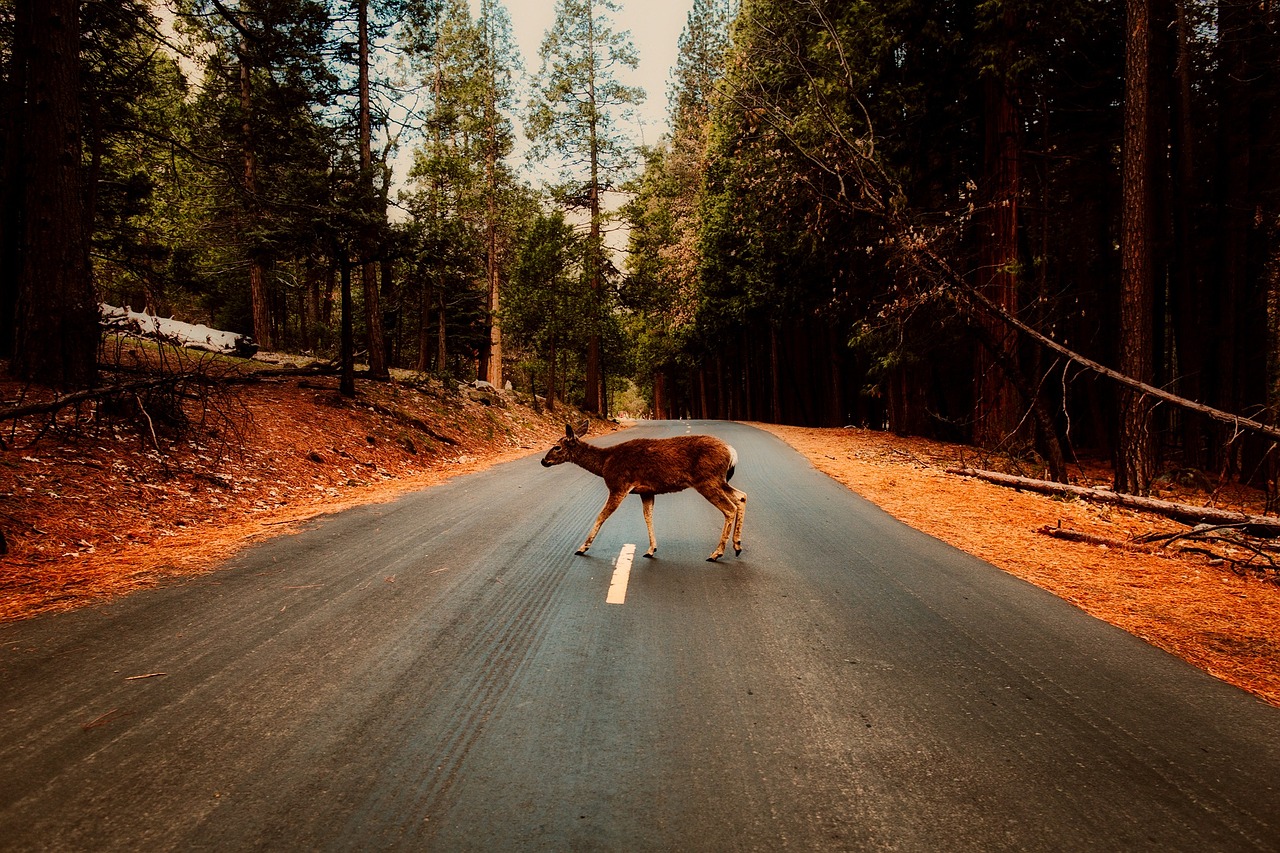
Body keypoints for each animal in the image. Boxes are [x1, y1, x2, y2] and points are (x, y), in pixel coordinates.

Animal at [540, 421, 747, 562]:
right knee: (741, 497)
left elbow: (601, 515)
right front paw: (651, 549)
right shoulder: (646, 491)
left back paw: (716, 553)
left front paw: (582, 548)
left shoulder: (619, 485)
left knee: (729, 508)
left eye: (557, 447)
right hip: (719, 480)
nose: (543, 460)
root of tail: (732, 452)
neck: (605, 463)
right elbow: (648, 516)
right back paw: (737, 546)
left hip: (707, 480)